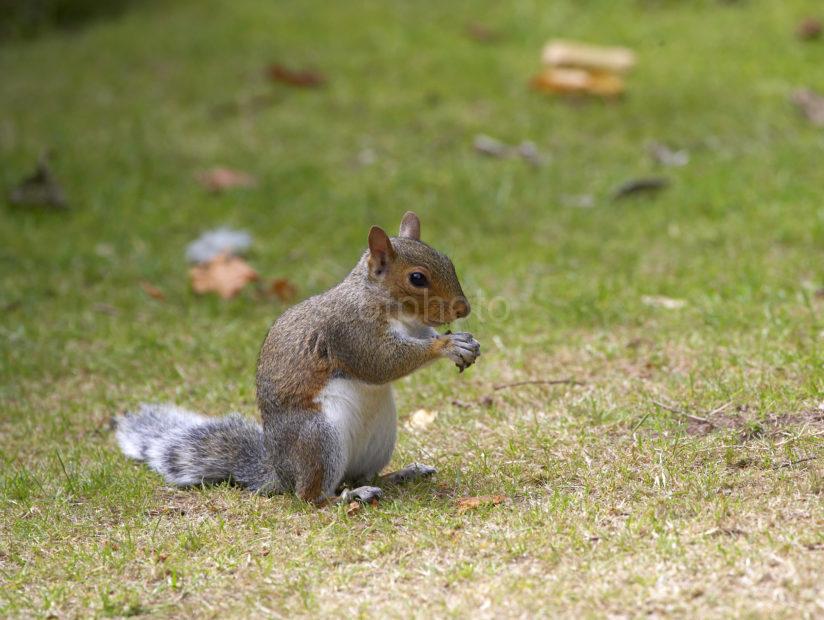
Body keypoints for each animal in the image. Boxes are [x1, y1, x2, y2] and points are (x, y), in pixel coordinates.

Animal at [112, 212, 480, 504]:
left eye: (448, 260)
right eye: (417, 278)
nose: (463, 309)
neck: (381, 302)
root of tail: (280, 472)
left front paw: (465, 342)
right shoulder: (350, 333)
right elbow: (382, 362)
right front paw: (447, 346)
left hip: (379, 438)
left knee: (363, 474)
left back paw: (400, 475)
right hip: (318, 439)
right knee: (311, 495)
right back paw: (349, 497)